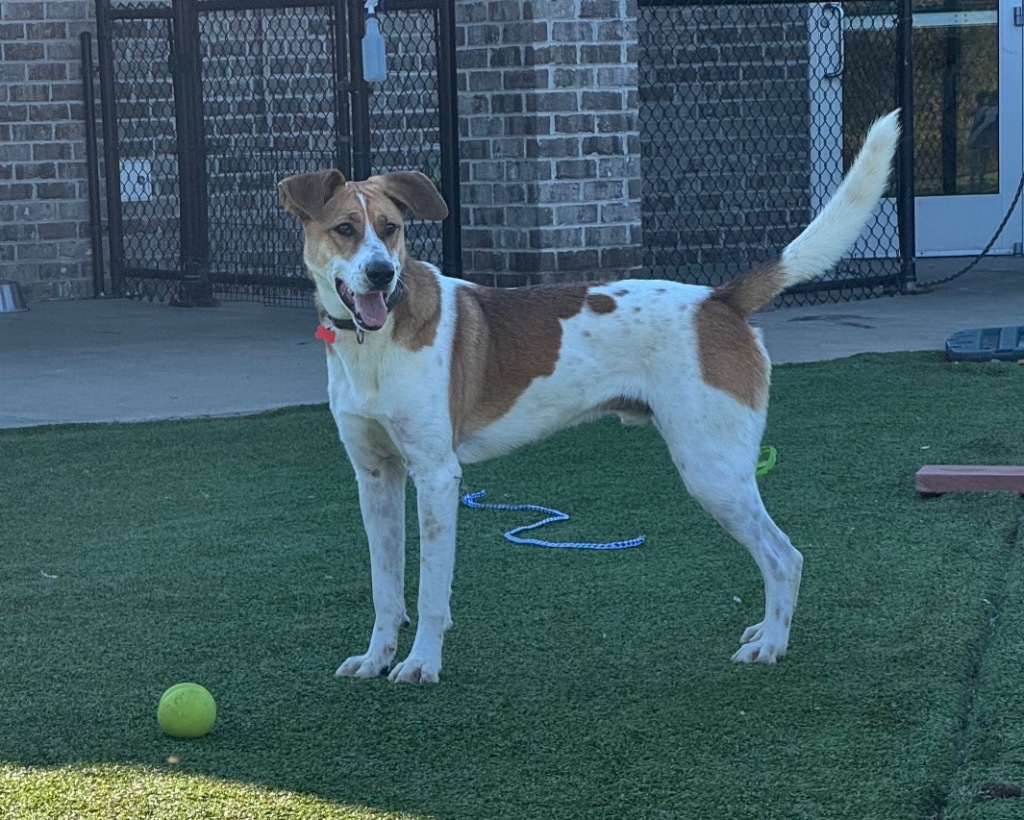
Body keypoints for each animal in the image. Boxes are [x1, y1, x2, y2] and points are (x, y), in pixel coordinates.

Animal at [280, 112, 897, 679]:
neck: (372, 346)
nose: (382, 274)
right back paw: (763, 628)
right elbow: (386, 587)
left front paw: (421, 663)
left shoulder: (436, 476)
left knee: (783, 556)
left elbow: (432, 590)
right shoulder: (376, 476)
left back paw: (770, 643)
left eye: (389, 228)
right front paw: (376, 657)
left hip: (712, 470)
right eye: (345, 229)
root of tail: (718, 299)